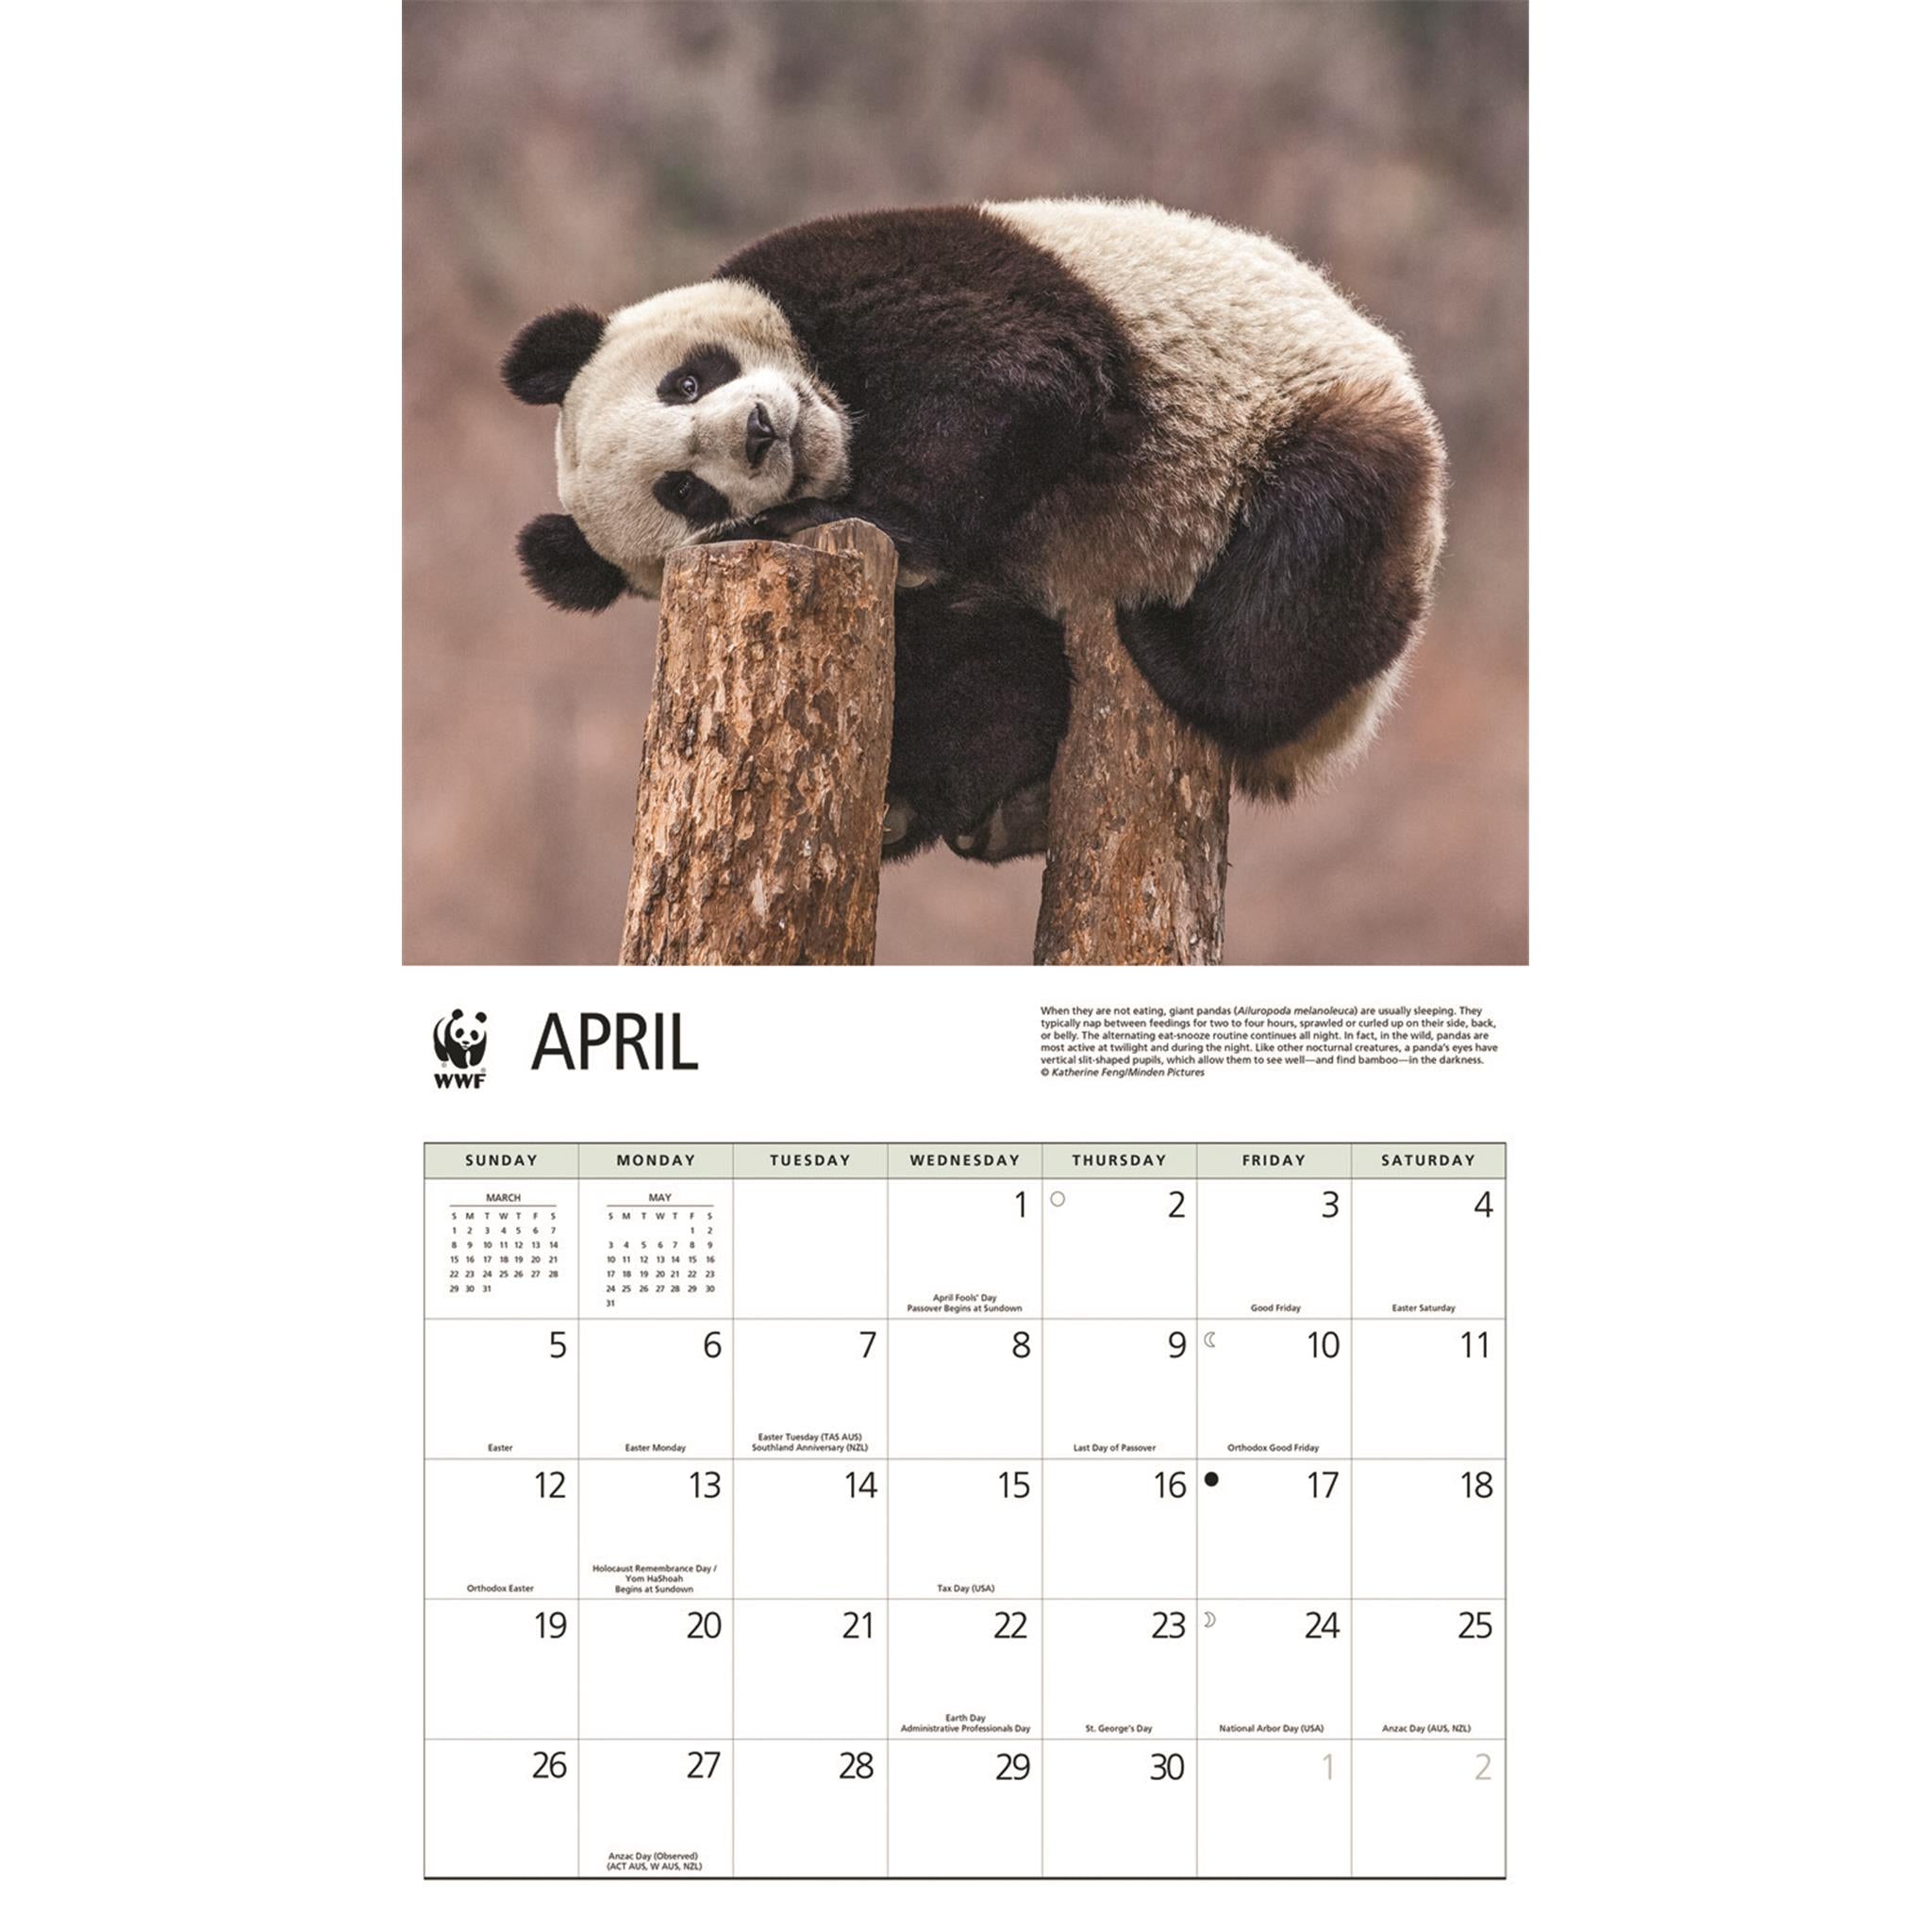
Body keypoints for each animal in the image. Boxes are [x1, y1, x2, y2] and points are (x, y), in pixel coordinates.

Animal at [504, 198, 1444, 863]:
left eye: (688, 381)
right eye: (686, 493)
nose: (763, 432)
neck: (844, 421)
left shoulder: (875, 270)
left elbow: (1024, 373)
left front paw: (837, 513)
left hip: (1296, 413)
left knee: (1312, 542)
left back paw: (1175, 652)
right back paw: (990, 811)